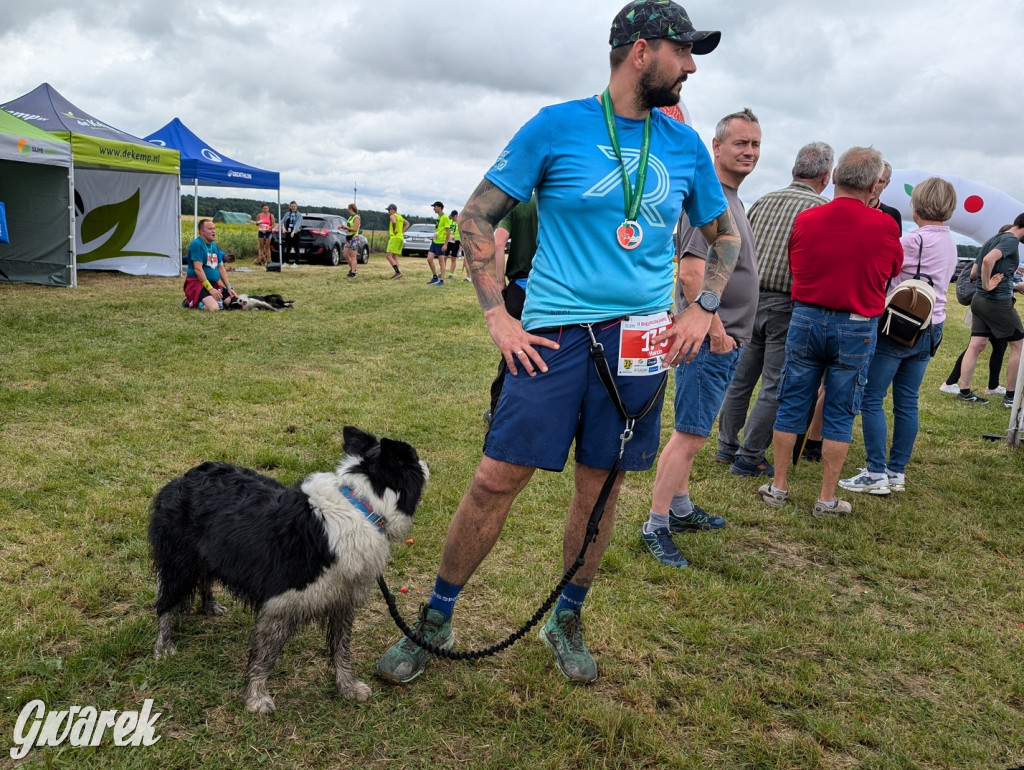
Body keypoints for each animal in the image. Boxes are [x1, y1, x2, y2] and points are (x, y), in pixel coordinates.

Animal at [148, 423, 428, 712]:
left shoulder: (342, 598)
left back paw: (209, 606)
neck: (364, 506)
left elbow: (341, 647)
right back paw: (163, 645)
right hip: (179, 562)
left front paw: (347, 686)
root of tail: (185, 477)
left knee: (204, 579)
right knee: (166, 603)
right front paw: (256, 697)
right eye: (414, 459)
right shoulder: (280, 602)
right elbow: (265, 655)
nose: (427, 462)